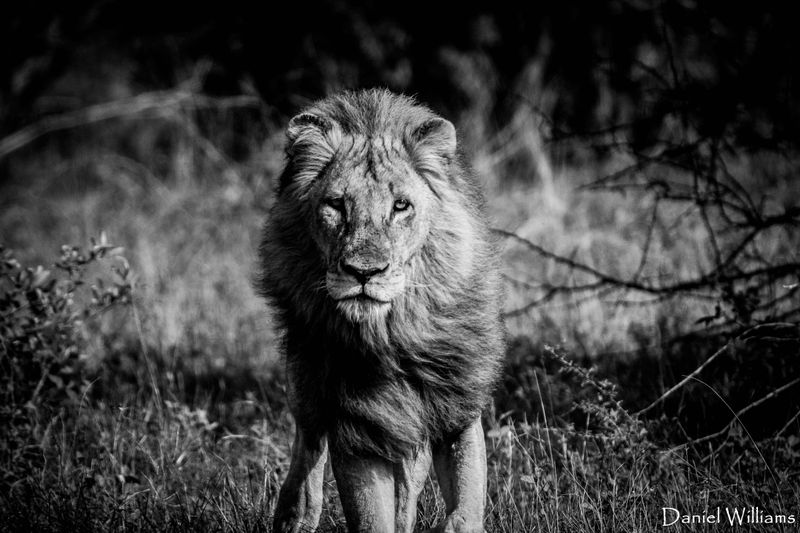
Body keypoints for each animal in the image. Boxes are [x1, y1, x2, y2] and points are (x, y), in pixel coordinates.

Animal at [258, 89, 505, 533]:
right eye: (336, 205)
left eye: (401, 206)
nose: (364, 272)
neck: (395, 336)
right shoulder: (357, 430)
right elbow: (372, 516)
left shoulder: (457, 413)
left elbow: (465, 509)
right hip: (306, 385)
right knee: (308, 447)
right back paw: (295, 514)